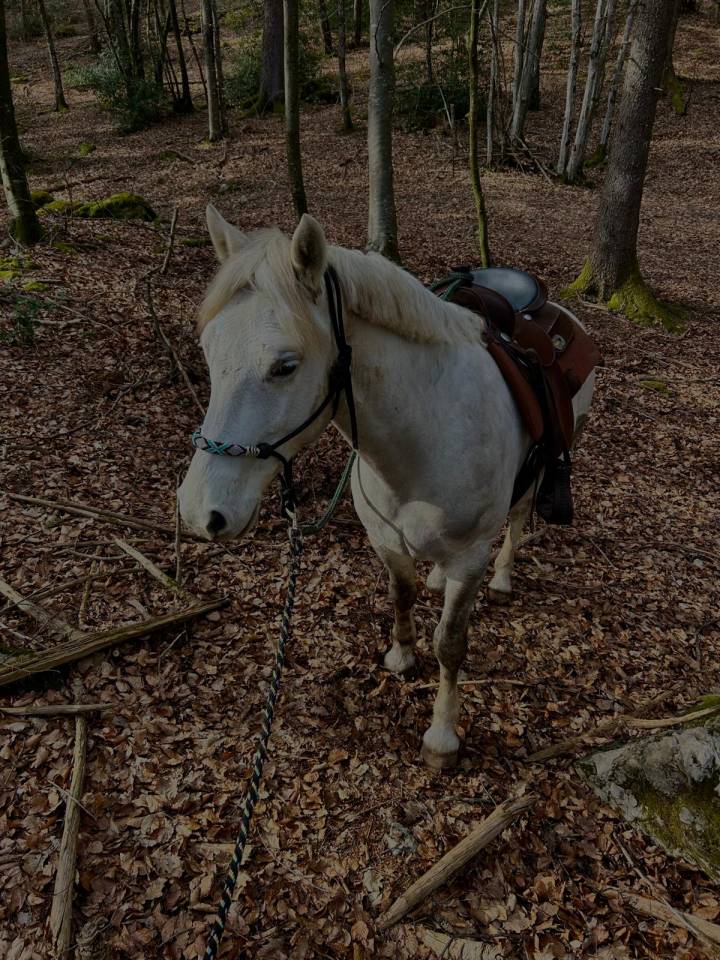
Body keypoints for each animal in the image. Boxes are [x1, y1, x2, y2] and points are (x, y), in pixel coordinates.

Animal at [179, 206, 595, 769]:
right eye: (207, 352)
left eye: (285, 366)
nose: (199, 510)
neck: (423, 439)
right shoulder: (386, 541)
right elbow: (402, 594)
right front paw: (401, 654)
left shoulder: (470, 558)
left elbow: (451, 645)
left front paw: (442, 735)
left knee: (518, 518)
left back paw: (505, 576)